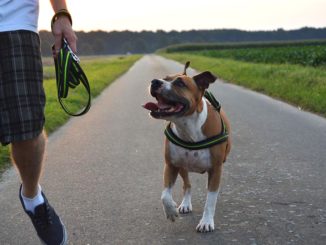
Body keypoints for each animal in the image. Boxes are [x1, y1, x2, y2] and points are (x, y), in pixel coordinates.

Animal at [143, 61, 232, 232]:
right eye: (164, 78)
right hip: (183, 167)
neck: (188, 128)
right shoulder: (171, 165)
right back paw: (185, 204)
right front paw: (170, 210)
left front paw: (206, 221)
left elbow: (210, 199)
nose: (155, 81)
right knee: (187, 185)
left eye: (180, 83)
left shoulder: (216, 169)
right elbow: (165, 195)